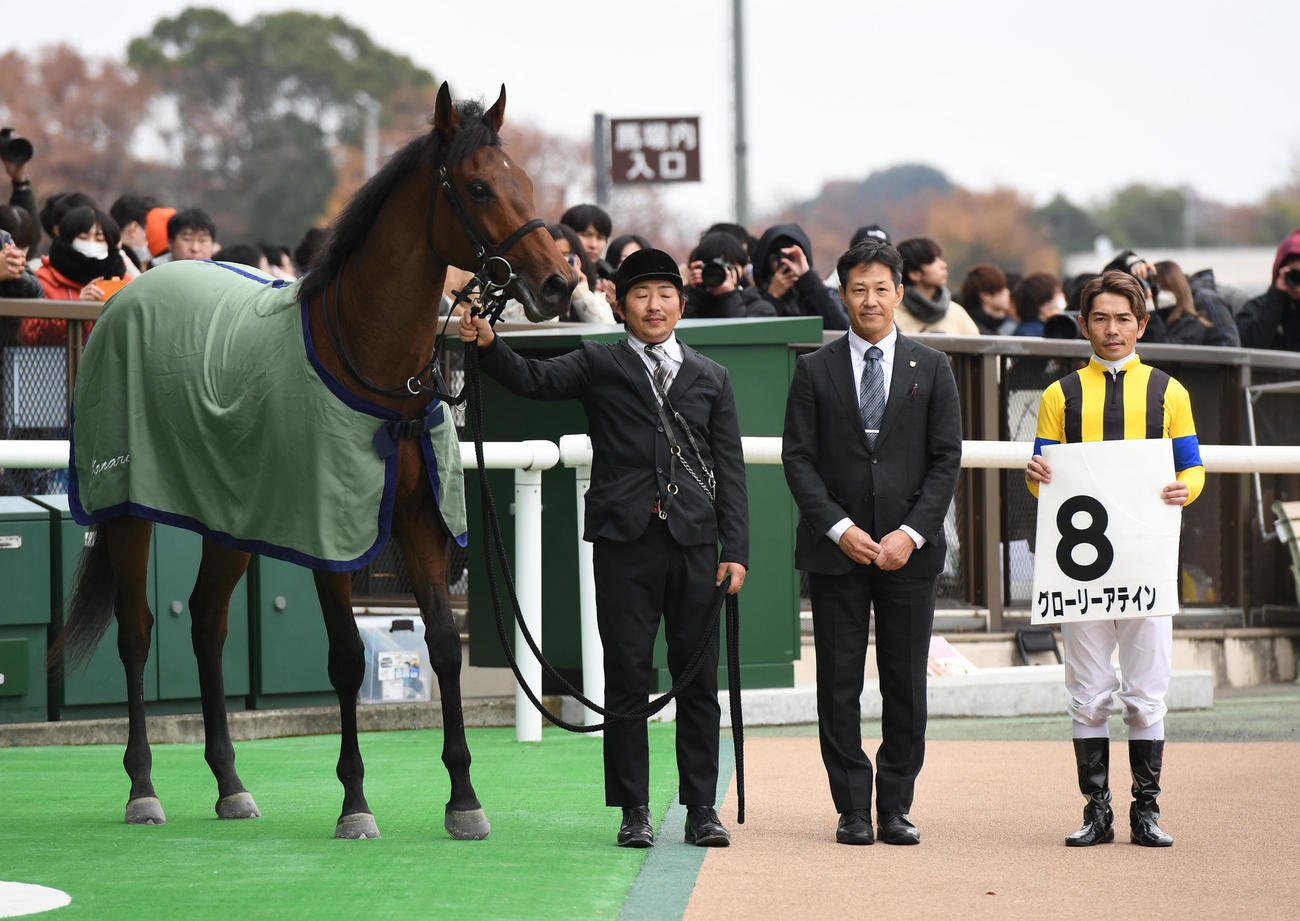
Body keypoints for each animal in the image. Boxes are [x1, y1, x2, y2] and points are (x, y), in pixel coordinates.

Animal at [51, 82, 576, 840]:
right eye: (478, 187)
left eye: (524, 182)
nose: (560, 284)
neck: (371, 363)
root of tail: (131, 294)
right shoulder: (333, 529)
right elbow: (348, 657)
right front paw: (355, 803)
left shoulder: (416, 518)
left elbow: (445, 646)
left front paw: (464, 799)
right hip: (127, 506)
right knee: (138, 630)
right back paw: (143, 787)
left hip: (229, 511)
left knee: (206, 623)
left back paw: (231, 784)